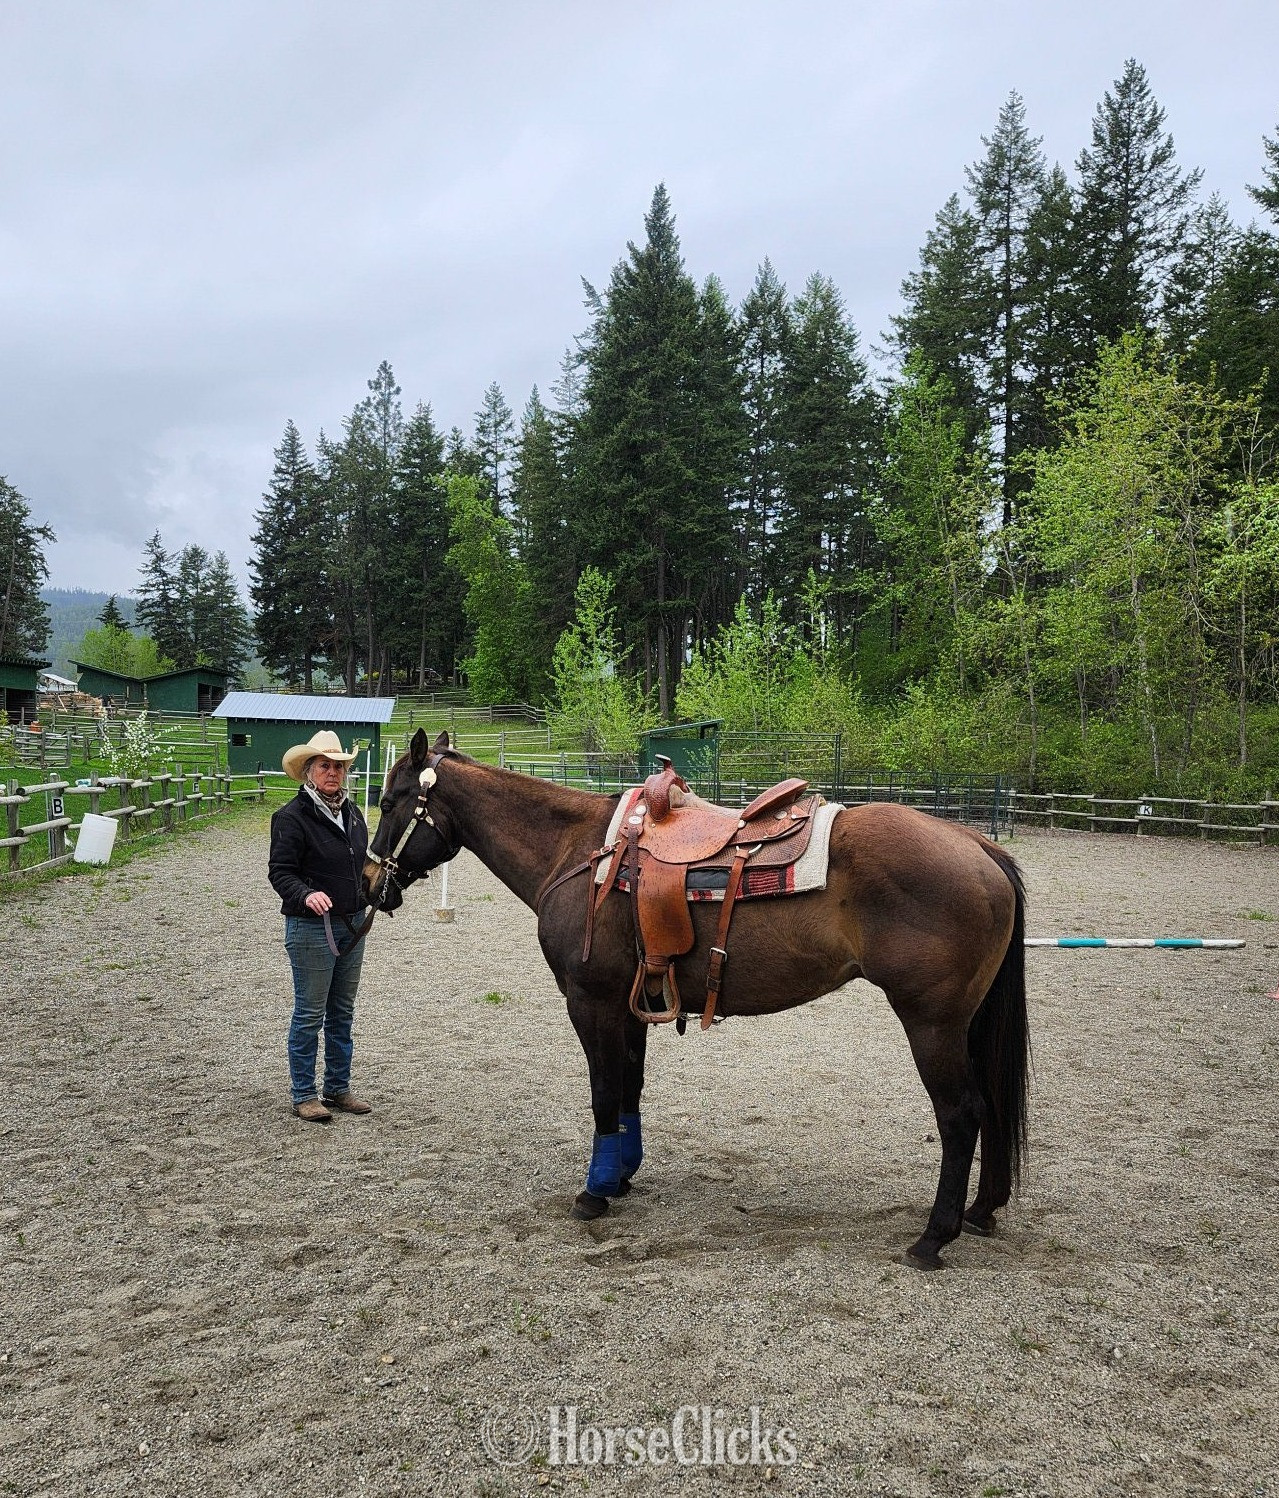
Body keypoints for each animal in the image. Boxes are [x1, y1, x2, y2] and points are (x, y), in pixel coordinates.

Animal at [365, 730, 1030, 1270]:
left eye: (390, 802)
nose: (372, 885)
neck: (577, 851)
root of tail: (980, 846)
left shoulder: (591, 1001)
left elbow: (603, 1093)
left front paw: (594, 1193)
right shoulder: (629, 1004)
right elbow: (628, 1089)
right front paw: (621, 1175)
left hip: (933, 1024)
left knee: (961, 1113)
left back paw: (934, 1237)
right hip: (965, 1024)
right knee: (990, 1105)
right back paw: (980, 1211)